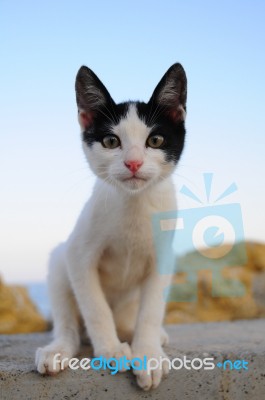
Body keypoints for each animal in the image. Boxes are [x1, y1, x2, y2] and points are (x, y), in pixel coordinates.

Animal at [36, 62, 187, 390]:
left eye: (155, 141)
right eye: (111, 142)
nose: (133, 163)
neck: (133, 204)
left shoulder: (164, 257)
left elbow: (151, 310)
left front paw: (147, 354)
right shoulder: (78, 256)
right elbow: (95, 308)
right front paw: (111, 350)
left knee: (132, 317)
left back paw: (141, 335)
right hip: (58, 262)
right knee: (68, 324)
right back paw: (58, 349)